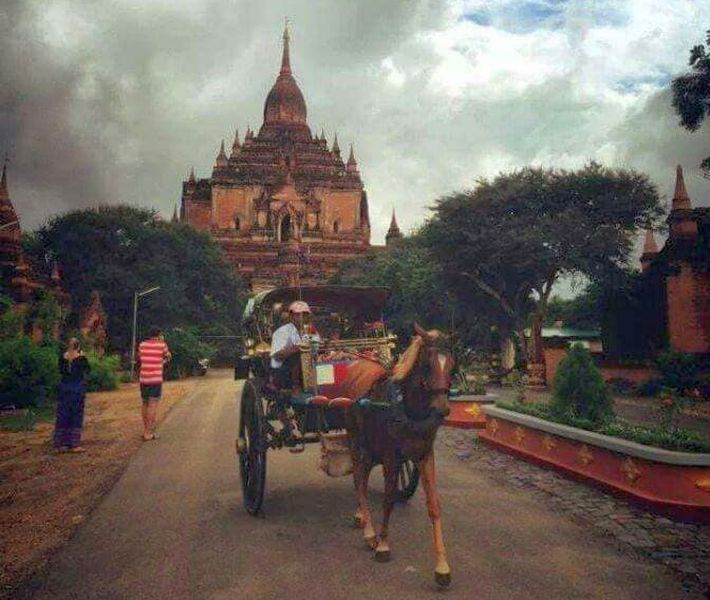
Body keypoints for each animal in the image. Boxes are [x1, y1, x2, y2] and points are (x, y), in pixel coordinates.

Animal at [340, 322, 456, 588]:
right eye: (427, 365)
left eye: (452, 365)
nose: (442, 408)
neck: (408, 408)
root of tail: (356, 364)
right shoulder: (390, 456)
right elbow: (388, 500)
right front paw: (383, 545)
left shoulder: (424, 455)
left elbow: (434, 506)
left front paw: (442, 566)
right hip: (355, 439)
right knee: (358, 479)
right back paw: (369, 532)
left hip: (370, 446)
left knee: (362, 477)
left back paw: (361, 517)